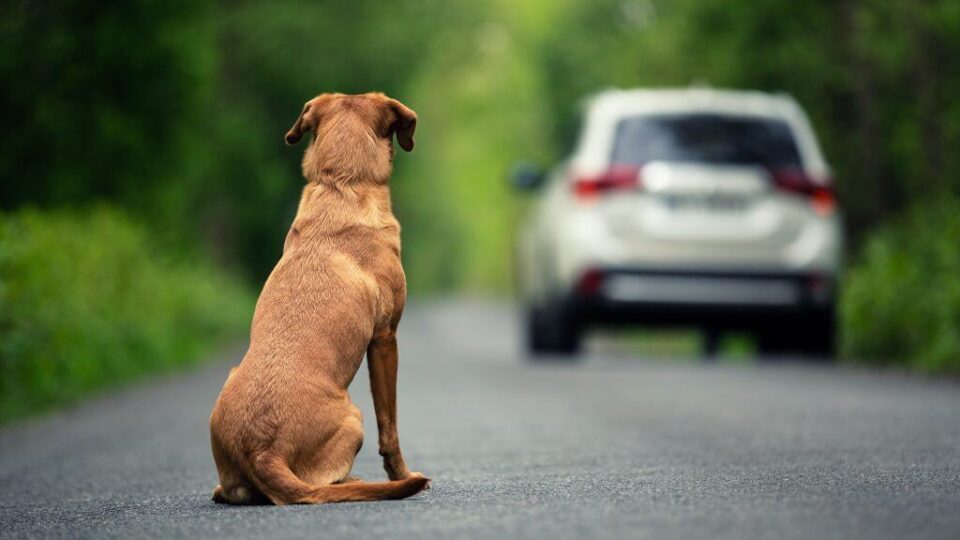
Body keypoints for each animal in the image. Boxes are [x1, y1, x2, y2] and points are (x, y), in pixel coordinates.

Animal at [209, 90, 428, 504]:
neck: (342, 183)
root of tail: (262, 452)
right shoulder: (385, 338)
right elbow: (390, 427)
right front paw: (402, 474)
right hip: (354, 418)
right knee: (329, 482)